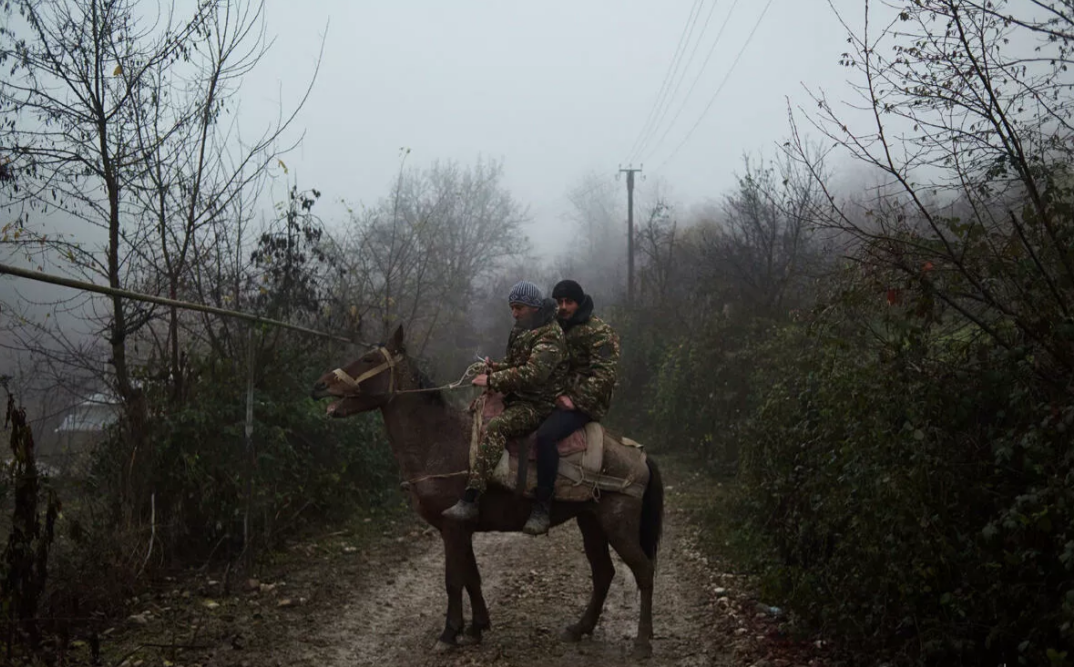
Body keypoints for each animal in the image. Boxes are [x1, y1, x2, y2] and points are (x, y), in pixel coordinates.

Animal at [310, 324, 664, 658]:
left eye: (369, 359)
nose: (320, 385)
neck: (439, 441)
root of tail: (639, 455)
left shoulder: (453, 526)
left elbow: (454, 580)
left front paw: (449, 633)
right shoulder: (460, 527)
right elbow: (472, 576)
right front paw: (477, 628)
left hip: (618, 525)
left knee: (644, 571)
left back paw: (642, 642)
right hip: (591, 522)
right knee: (604, 573)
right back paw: (580, 628)